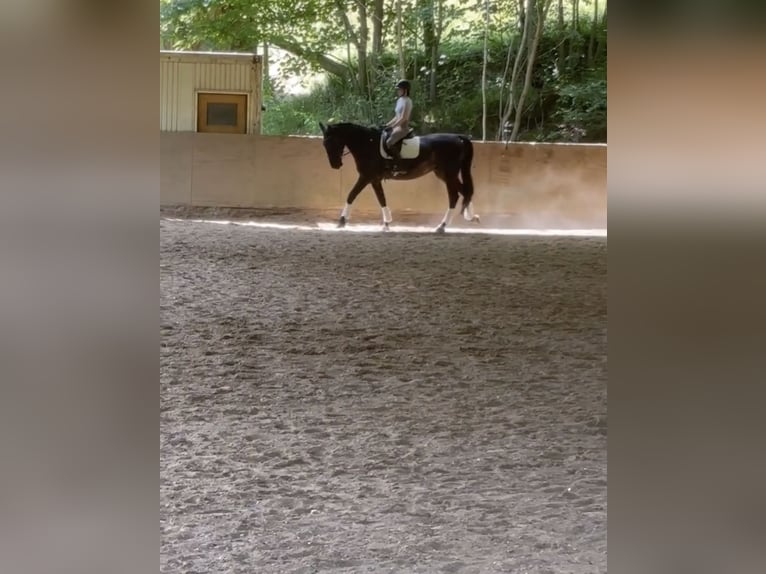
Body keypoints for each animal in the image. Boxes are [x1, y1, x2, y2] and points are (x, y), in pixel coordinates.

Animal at [318, 121, 480, 232]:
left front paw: (341, 221)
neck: (367, 144)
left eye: (332, 142)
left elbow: (351, 195)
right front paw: (386, 223)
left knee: (454, 196)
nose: (335, 165)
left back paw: (442, 226)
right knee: (465, 192)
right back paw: (471, 217)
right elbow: (381, 199)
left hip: (449, 174)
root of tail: (458, 137)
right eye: (324, 144)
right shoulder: (374, 179)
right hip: (443, 174)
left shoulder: (365, 177)